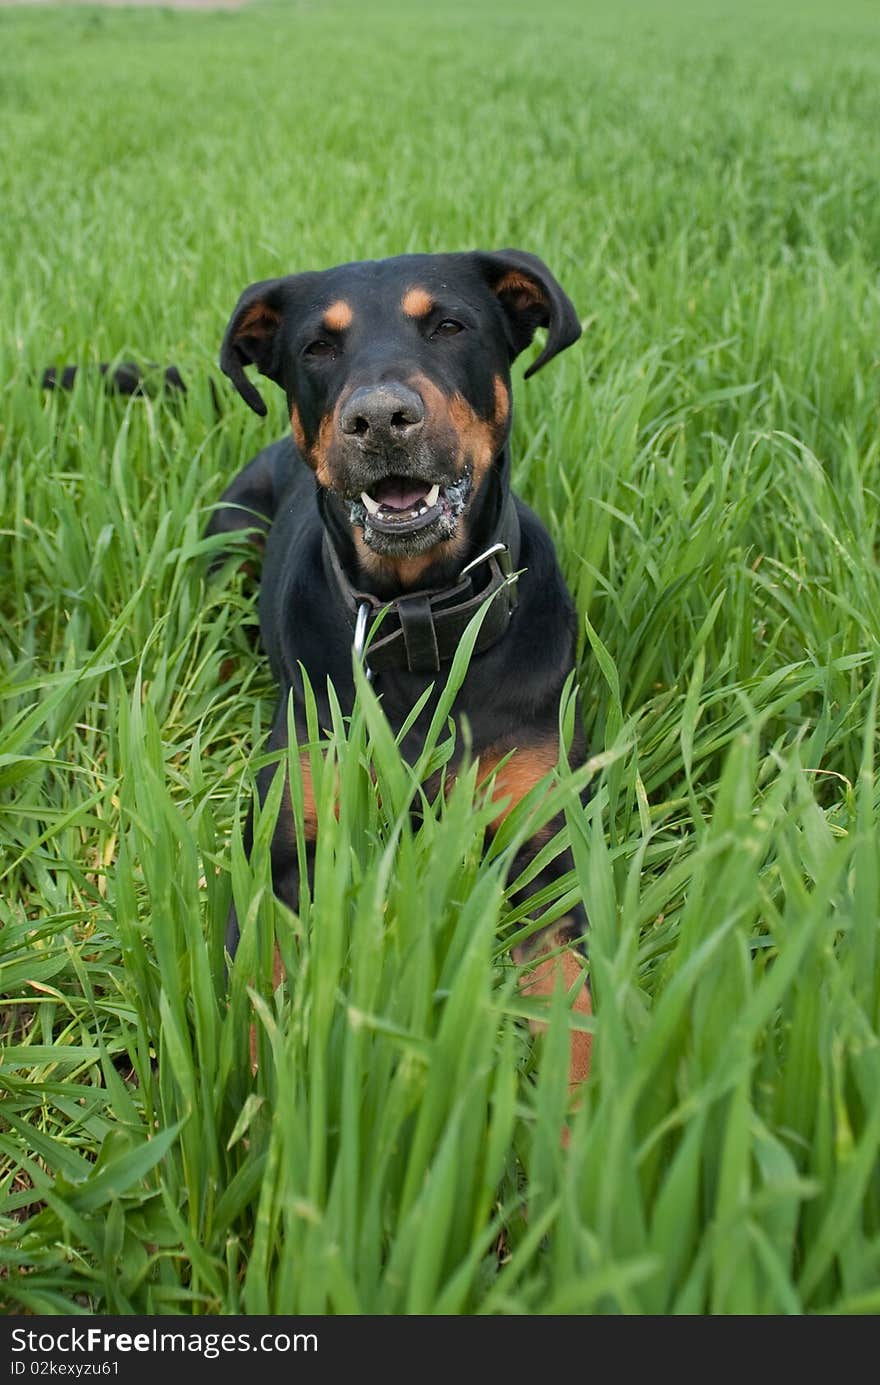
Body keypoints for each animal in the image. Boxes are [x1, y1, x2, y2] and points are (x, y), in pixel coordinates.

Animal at [209, 249, 593, 1091]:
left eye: (449, 324)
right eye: (317, 347)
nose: (380, 419)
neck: (422, 628)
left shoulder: (545, 846)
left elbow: (576, 1007)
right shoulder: (283, 852)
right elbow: (254, 994)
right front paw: (250, 1113)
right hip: (228, 531)